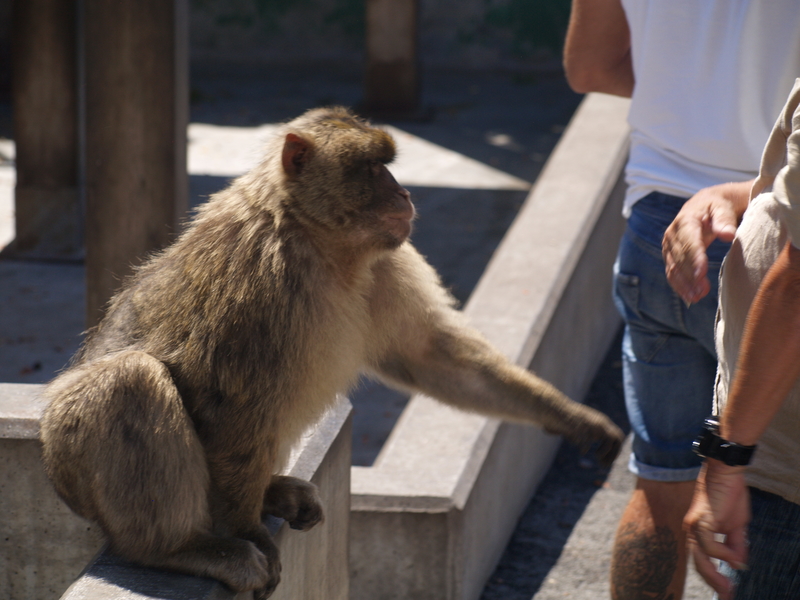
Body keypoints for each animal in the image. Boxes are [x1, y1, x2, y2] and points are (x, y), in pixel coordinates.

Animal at [39, 105, 624, 596]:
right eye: (374, 169)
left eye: (388, 166)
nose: (405, 195)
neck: (313, 237)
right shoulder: (260, 280)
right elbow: (230, 398)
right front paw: (250, 532)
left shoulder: (383, 262)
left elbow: (429, 353)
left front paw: (570, 417)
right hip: (77, 468)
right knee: (127, 380)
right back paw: (178, 547)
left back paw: (270, 493)